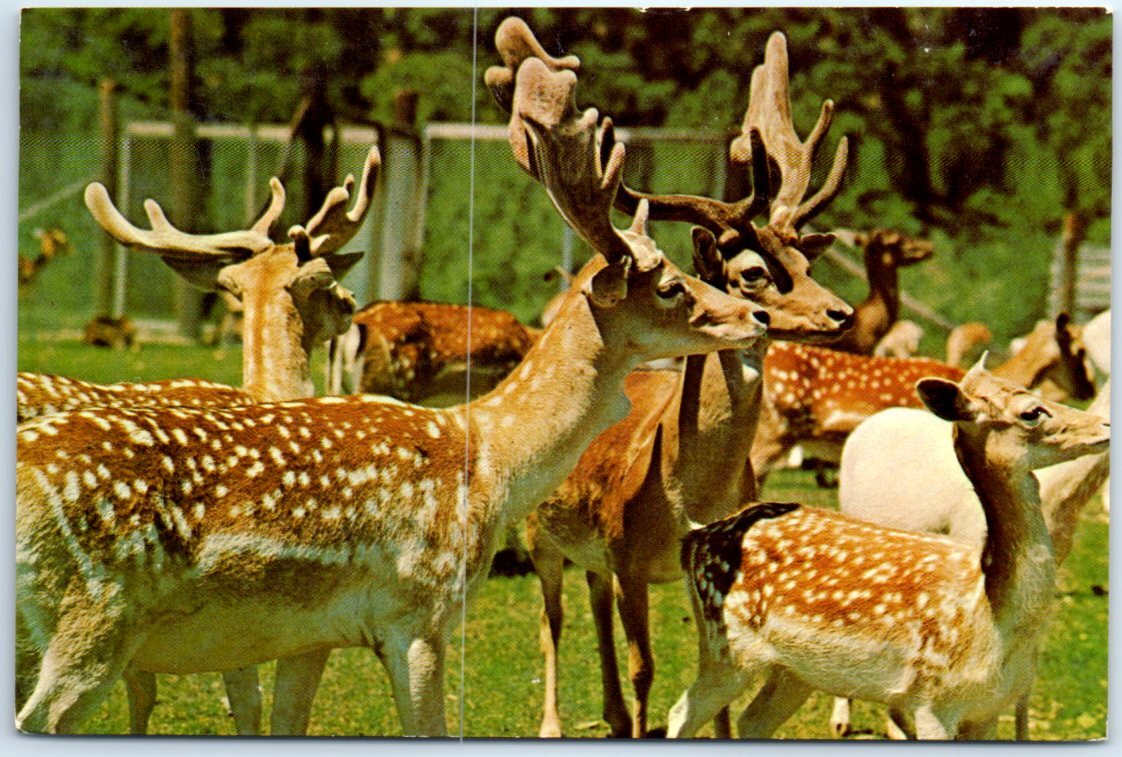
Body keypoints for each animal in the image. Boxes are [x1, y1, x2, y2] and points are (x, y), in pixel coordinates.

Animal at [494, 23, 853, 738]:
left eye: (806, 262)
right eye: (752, 273)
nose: (841, 314)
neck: (689, 492)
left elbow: (714, 689)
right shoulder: (628, 553)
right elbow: (645, 670)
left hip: (591, 549)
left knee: (592, 602)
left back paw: (607, 715)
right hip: (539, 534)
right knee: (553, 619)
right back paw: (554, 723)